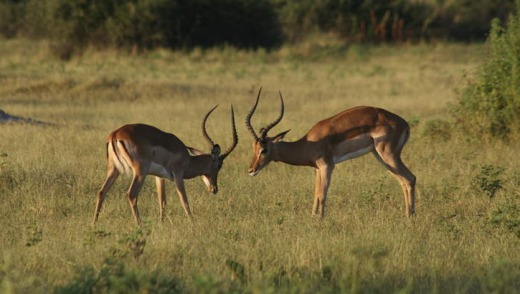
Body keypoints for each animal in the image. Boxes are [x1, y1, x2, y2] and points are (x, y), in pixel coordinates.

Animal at [93, 105, 238, 225]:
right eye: (219, 165)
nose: (214, 189)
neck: (188, 160)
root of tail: (115, 134)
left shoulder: (159, 177)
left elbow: (162, 201)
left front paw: (161, 222)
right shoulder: (178, 175)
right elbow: (184, 200)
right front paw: (193, 223)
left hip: (113, 170)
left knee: (101, 192)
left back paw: (94, 224)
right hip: (140, 172)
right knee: (131, 195)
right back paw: (140, 225)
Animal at [246, 87, 416, 218]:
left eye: (264, 149)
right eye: (253, 148)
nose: (251, 170)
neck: (308, 143)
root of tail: (404, 123)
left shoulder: (327, 166)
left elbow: (322, 194)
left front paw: (321, 221)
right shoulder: (317, 169)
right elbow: (316, 194)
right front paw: (313, 218)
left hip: (388, 154)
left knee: (410, 178)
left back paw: (410, 218)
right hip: (380, 156)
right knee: (403, 181)